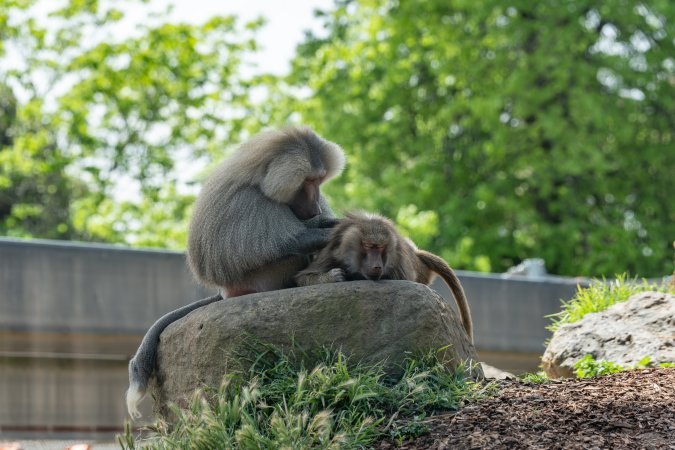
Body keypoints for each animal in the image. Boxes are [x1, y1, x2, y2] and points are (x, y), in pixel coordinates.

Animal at [126, 126, 346, 418]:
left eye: (320, 180)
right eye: (309, 180)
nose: (316, 209)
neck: (262, 183)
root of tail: (226, 293)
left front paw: (334, 223)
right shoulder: (247, 206)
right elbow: (283, 244)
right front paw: (328, 233)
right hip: (263, 278)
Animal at [295, 211, 474, 343]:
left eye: (380, 247)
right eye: (369, 246)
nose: (377, 266)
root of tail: (416, 254)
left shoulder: (398, 265)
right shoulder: (331, 253)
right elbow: (302, 279)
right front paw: (333, 277)